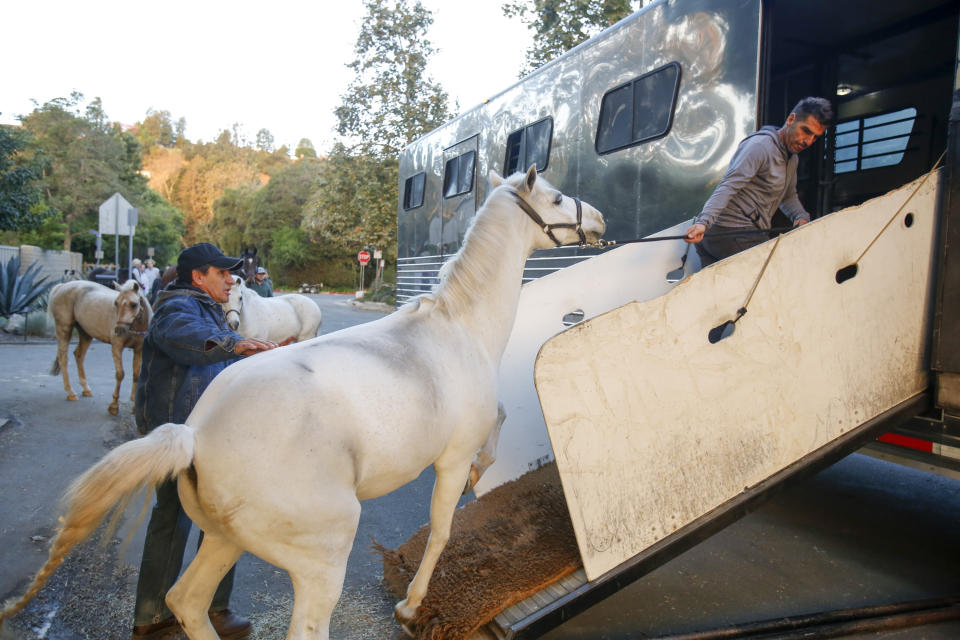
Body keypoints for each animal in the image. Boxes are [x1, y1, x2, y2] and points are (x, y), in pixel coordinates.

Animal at [47, 278, 152, 416]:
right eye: (116, 303)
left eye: (134, 304)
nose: (119, 330)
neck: (135, 327)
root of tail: (61, 286)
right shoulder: (116, 347)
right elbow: (120, 374)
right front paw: (114, 406)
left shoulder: (139, 350)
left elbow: (136, 375)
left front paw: (134, 405)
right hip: (64, 328)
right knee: (63, 358)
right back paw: (70, 392)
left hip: (85, 333)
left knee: (78, 354)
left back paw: (86, 389)